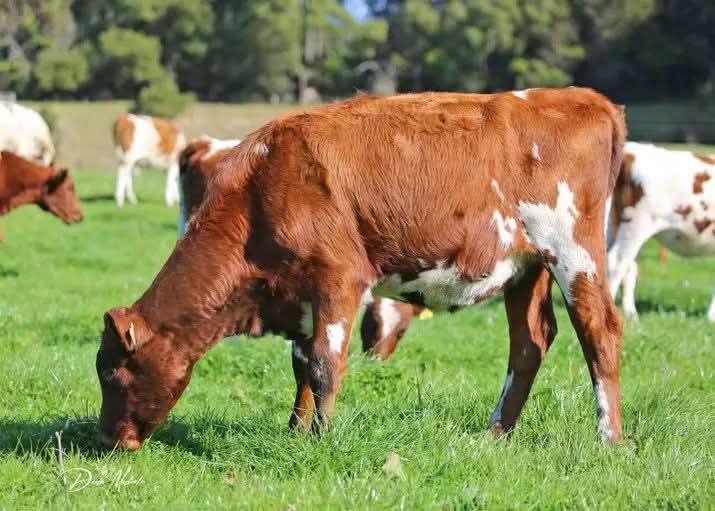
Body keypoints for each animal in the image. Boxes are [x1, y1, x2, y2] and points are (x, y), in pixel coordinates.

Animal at [96, 88, 627, 451]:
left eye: (110, 371)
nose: (107, 439)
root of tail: (584, 98)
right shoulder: (299, 292)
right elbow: (301, 365)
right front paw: (295, 429)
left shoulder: (338, 279)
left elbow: (325, 364)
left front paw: (320, 438)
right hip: (524, 266)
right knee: (529, 343)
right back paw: (495, 434)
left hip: (573, 251)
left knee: (598, 329)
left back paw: (609, 438)